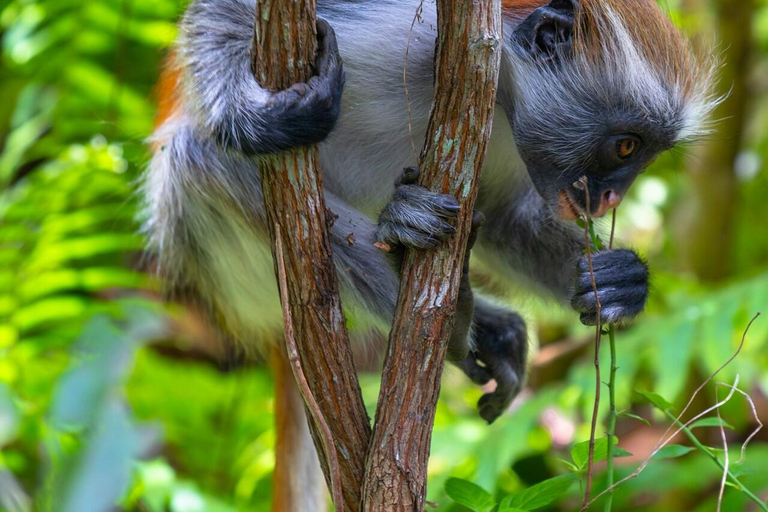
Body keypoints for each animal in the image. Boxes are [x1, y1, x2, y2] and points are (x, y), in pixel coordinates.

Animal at [146, 1, 720, 508]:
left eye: (643, 155)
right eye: (626, 146)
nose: (610, 199)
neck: (496, 86)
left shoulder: (513, 139)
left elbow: (506, 218)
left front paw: (623, 282)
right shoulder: (408, 30)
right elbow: (227, 8)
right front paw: (257, 120)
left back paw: (478, 320)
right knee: (202, 157)